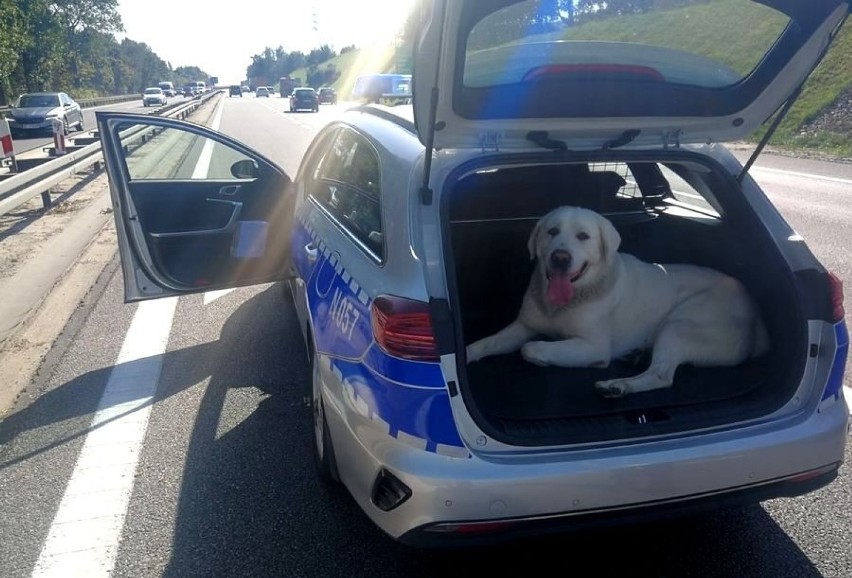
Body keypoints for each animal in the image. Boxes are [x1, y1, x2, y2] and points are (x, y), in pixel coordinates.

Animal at [466, 205, 772, 398]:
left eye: (583, 236)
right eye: (552, 232)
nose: (560, 257)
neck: (569, 299)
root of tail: (758, 315)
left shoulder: (592, 346)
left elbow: (530, 348)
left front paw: (547, 358)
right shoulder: (523, 326)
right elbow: (488, 342)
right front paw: (465, 354)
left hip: (681, 323)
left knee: (662, 375)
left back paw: (618, 386)